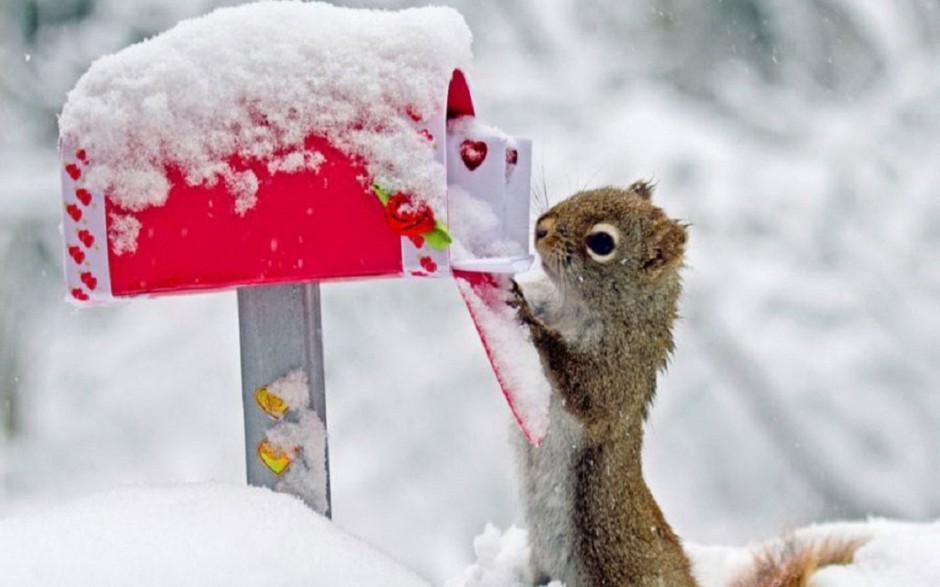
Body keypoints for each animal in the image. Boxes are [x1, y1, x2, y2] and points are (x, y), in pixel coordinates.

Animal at [510, 181, 864, 584]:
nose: (541, 227)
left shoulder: (620, 372)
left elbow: (587, 392)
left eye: (601, 242)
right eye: (587, 191)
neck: (570, 304)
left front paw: (531, 320)